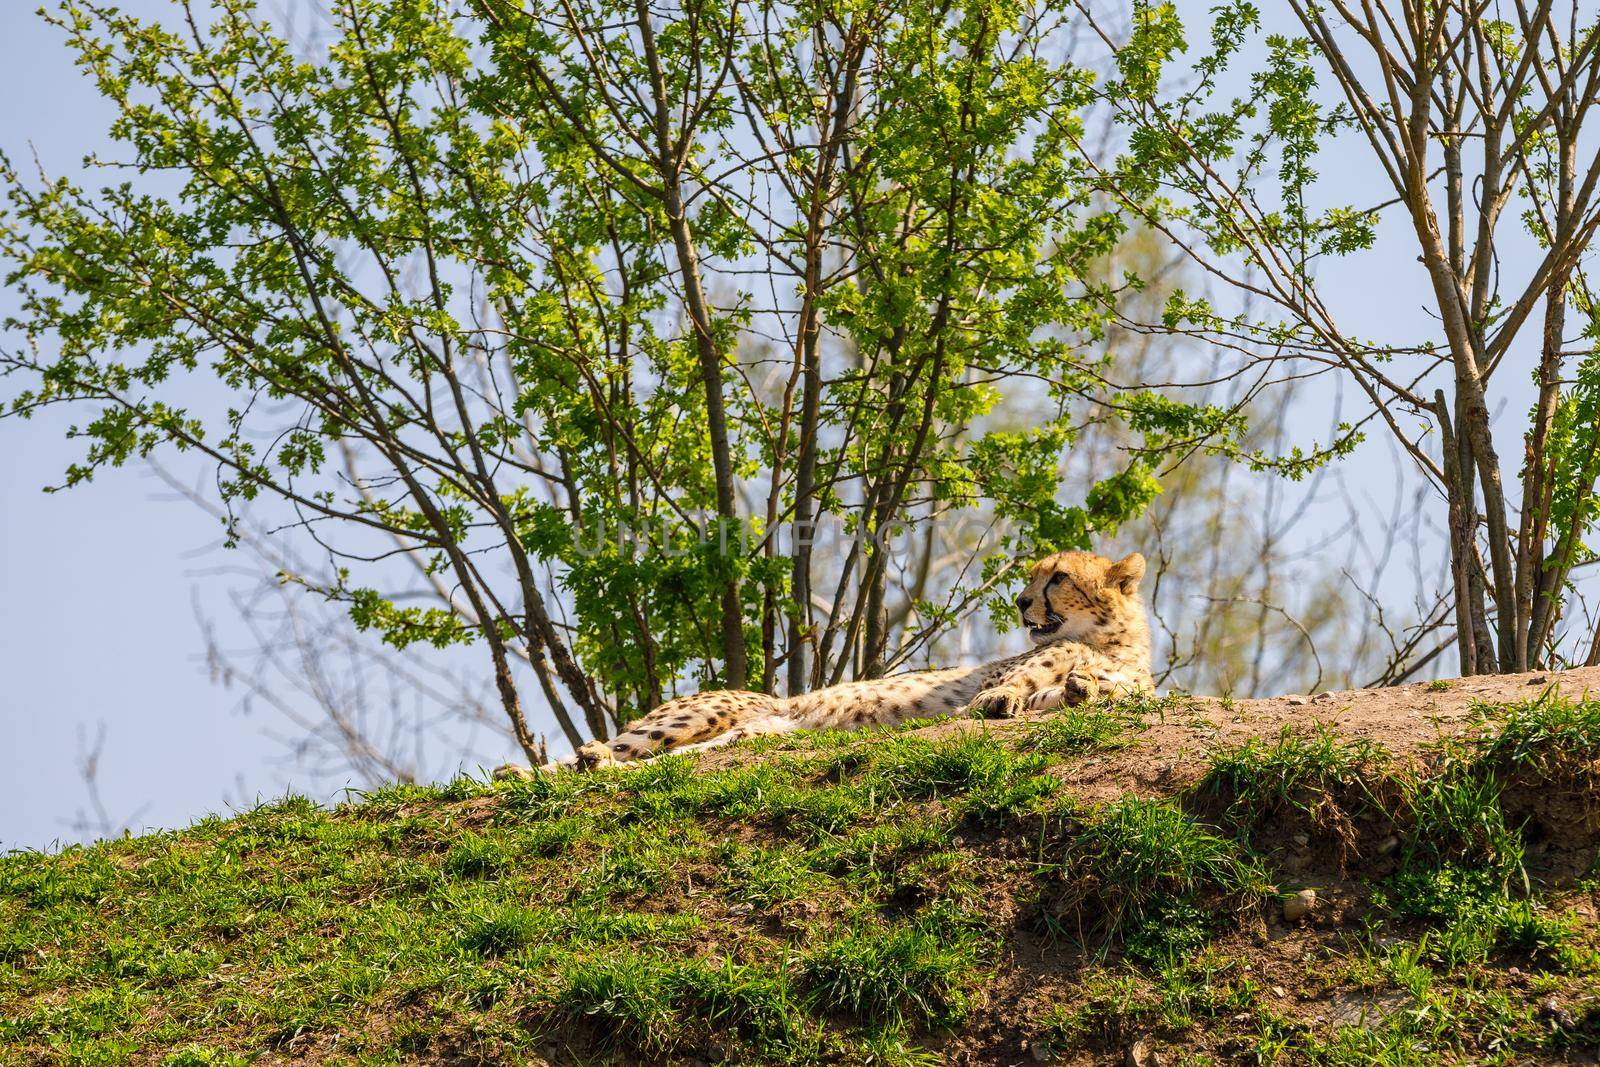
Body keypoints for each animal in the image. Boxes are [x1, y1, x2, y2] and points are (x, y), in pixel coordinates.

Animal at [496, 550, 1152, 777]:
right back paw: (537, 769)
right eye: (1035, 576)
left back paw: (591, 766)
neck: (1111, 640)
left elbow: (1098, 692)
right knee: (620, 749)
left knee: (654, 765)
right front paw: (1011, 696)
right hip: (699, 715)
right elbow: (1012, 684)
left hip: (745, 736)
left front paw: (1084, 689)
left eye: (1057, 577)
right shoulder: (1006, 674)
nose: (1019, 602)